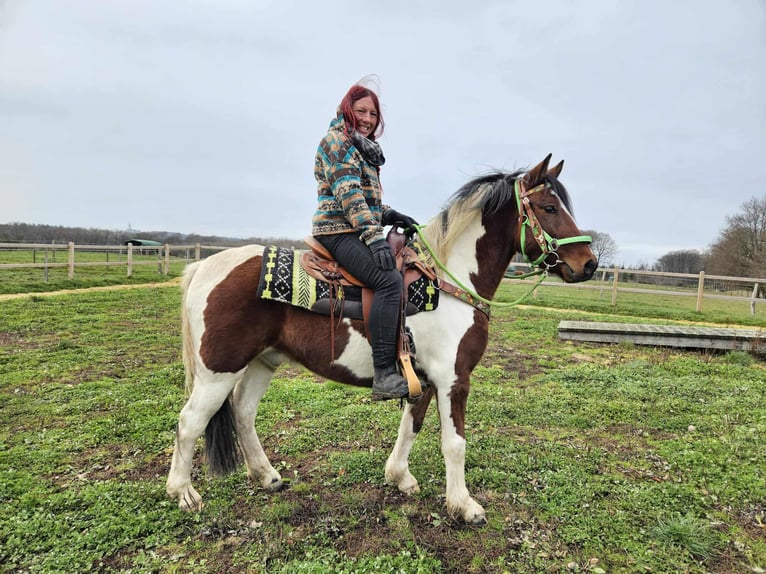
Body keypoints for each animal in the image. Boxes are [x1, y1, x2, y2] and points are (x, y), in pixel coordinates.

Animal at [165, 154, 598, 524]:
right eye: (550, 208)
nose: (589, 264)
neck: (449, 283)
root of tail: (205, 265)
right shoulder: (453, 380)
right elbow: (454, 443)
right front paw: (464, 505)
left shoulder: (423, 380)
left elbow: (411, 427)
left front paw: (399, 477)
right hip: (219, 371)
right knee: (189, 422)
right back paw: (183, 493)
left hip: (261, 362)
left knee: (243, 413)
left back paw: (267, 475)